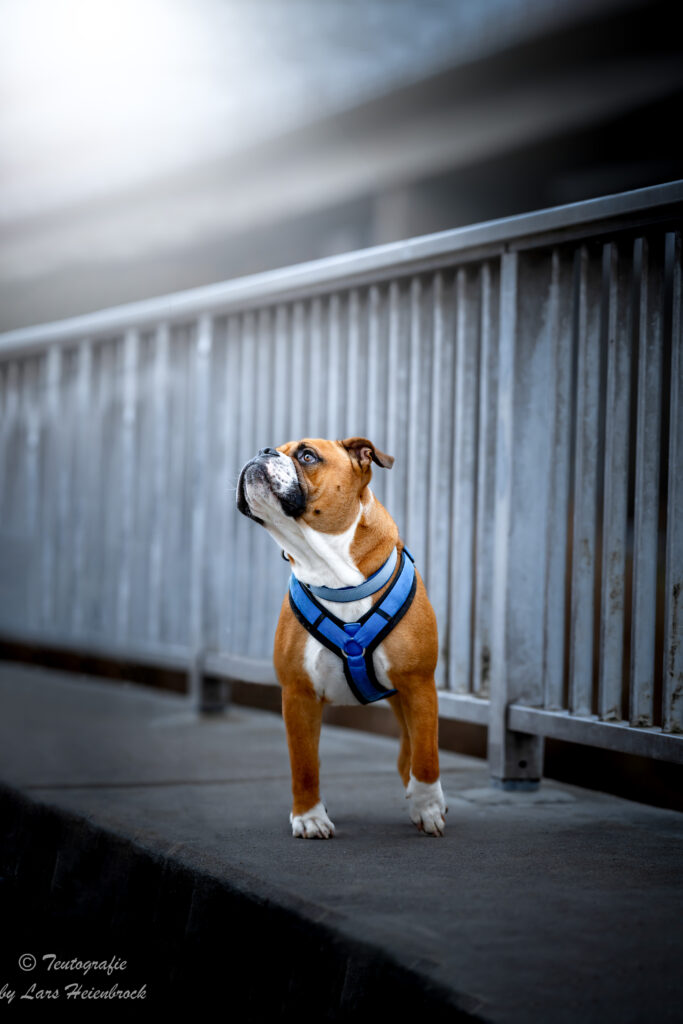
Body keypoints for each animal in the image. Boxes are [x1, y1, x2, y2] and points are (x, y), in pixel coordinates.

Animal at [237, 436, 446, 835]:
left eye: (307, 456)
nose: (262, 452)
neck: (334, 573)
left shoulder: (418, 685)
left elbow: (426, 756)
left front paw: (428, 808)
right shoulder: (298, 695)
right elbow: (304, 765)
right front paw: (309, 817)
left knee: (411, 754)